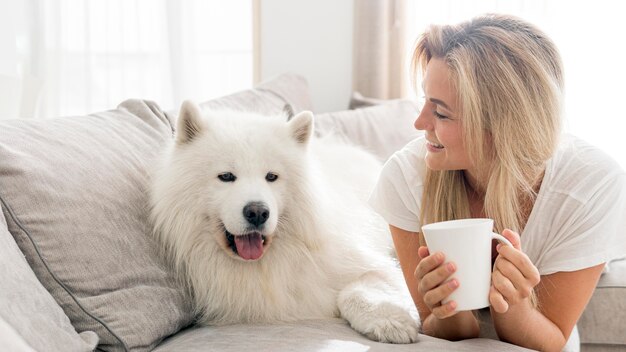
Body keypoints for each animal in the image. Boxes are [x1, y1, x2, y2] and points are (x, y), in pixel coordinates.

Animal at [148, 100, 416, 342]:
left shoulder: (367, 264)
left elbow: (356, 291)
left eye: (271, 177)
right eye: (226, 176)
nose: (257, 212)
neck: (267, 265)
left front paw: (390, 320)